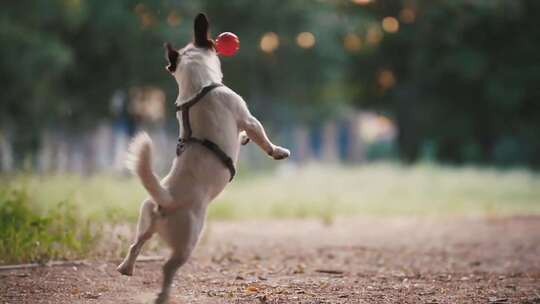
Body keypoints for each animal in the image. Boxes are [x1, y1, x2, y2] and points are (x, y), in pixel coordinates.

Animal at [116, 12, 288, 304]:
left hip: (145, 222)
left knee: (136, 243)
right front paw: (277, 151)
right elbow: (261, 137)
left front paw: (244, 140)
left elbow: (246, 136)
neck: (198, 88)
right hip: (189, 239)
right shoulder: (248, 118)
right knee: (168, 267)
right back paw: (163, 294)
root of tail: (166, 199)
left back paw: (126, 268)